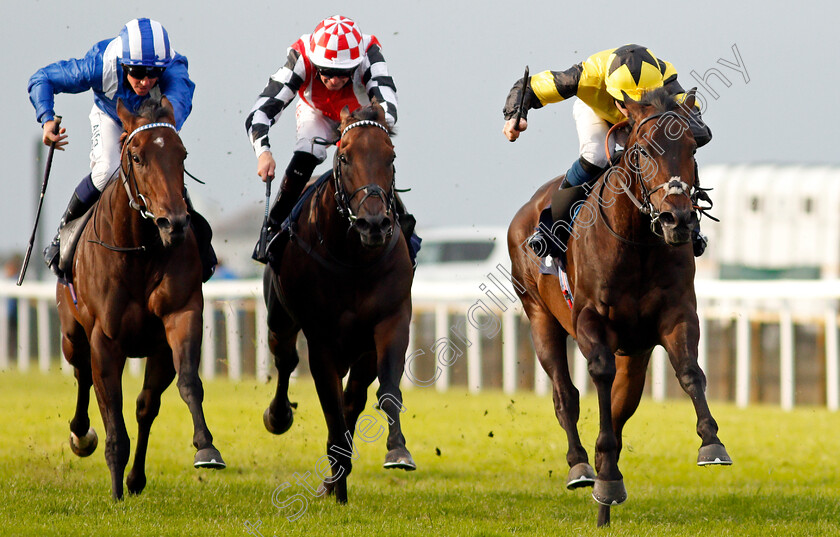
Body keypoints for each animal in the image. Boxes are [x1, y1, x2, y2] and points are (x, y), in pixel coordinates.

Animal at [55, 95, 226, 498]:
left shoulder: (179, 317)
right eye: (136, 156)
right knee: (82, 374)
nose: (173, 223)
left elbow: (186, 383)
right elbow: (111, 410)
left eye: (182, 153)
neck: (139, 251)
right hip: (72, 334)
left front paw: (206, 447)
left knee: (146, 405)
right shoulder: (105, 339)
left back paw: (136, 477)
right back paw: (81, 436)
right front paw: (115, 486)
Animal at [260, 102, 416, 504]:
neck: (353, 259)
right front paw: (337, 484)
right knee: (285, 360)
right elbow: (331, 408)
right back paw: (279, 417)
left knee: (354, 397)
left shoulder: (390, 322)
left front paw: (397, 451)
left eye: (391, 157)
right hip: (279, 319)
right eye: (344, 157)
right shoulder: (322, 339)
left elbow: (385, 390)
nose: (373, 224)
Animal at [508, 88, 732, 524]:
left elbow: (689, 371)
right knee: (565, 394)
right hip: (539, 316)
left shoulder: (677, 313)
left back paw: (603, 496)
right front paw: (603, 471)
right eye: (643, 150)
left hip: (636, 355)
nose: (678, 219)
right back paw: (581, 467)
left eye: (692, 148)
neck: (638, 242)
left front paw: (711, 442)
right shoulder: (590, 319)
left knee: (620, 403)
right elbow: (599, 374)